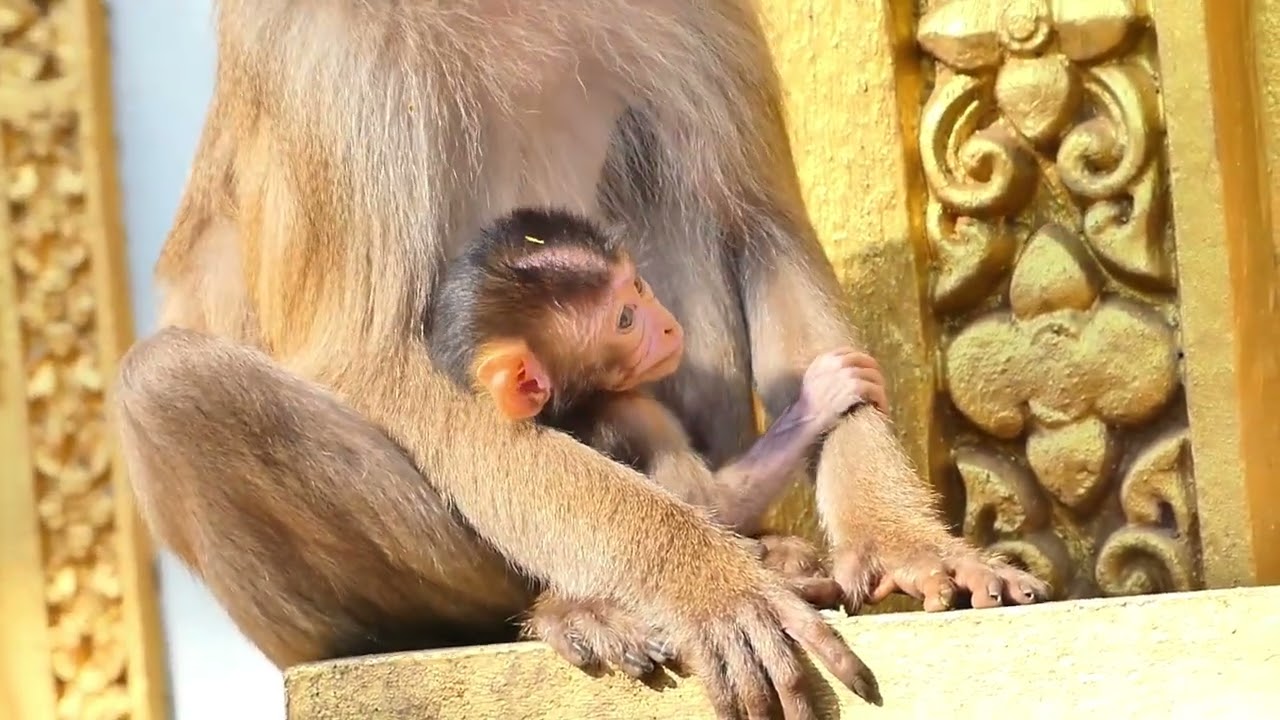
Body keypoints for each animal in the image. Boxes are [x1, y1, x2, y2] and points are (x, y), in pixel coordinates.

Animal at [113, 2, 1051, 718]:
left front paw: (904, 543)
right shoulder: (318, 38)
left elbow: (760, 223)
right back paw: (573, 604)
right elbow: (372, 353)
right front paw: (706, 582)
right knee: (167, 387)